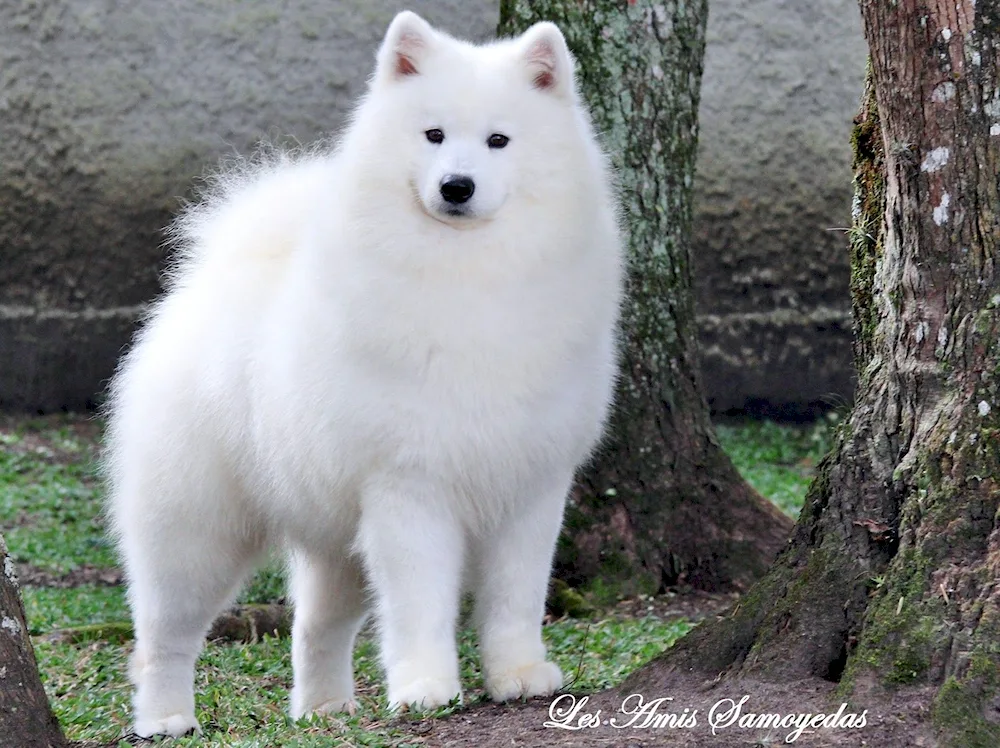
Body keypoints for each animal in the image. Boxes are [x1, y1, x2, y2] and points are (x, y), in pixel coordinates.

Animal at [105, 8, 620, 740]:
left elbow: (517, 596)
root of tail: (208, 277)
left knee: (314, 628)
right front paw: (427, 687)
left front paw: (519, 675)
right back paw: (166, 718)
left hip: (334, 541)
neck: (471, 272)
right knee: (162, 635)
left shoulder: (531, 486)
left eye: (499, 141)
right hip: (198, 529)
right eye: (433, 135)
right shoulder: (409, 488)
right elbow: (421, 603)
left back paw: (324, 708)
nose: (455, 186)